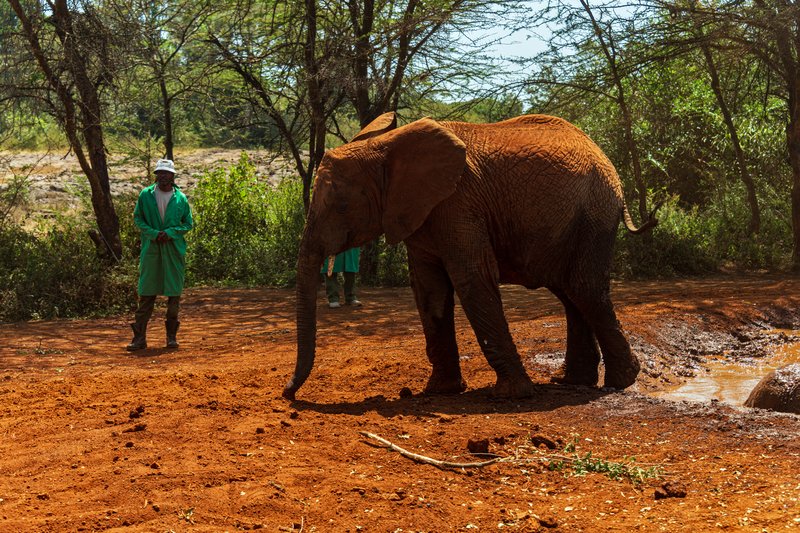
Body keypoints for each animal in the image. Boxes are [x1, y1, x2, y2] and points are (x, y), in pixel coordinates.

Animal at [283, 112, 657, 400]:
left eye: (342, 206)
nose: (287, 393)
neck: (386, 146)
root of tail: (605, 159)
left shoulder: (458, 204)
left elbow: (472, 278)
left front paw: (509, 395)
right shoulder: (423, 214)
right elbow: (429, 290)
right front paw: (440, 390)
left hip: (594, 214)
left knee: (583, 288)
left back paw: (621, 381)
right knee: (569, 292)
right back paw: (574, 381)